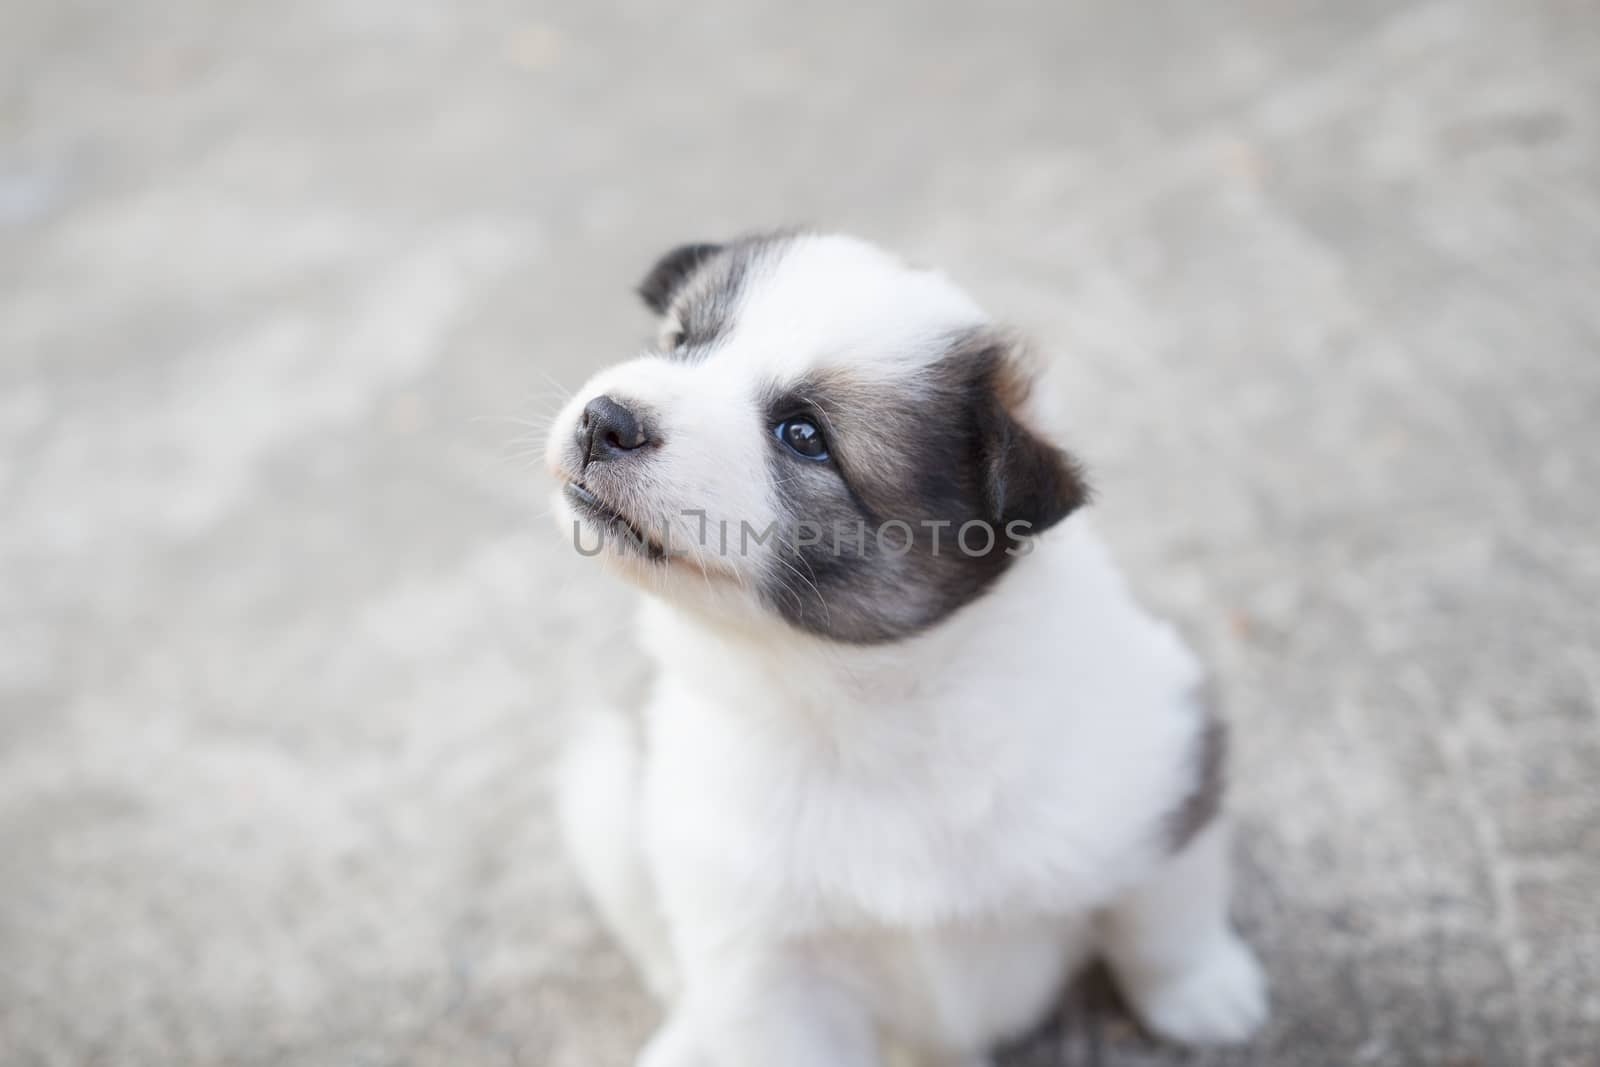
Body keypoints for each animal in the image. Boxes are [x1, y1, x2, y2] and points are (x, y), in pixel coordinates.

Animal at [544, 233, 1267, 1067]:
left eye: (805, 435)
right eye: (681, 342)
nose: (604, 419)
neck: (856, 702)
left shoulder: (1164, 766)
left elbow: (1165, 914)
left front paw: (1206, 993)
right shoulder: (765, 965)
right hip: (610, 798)